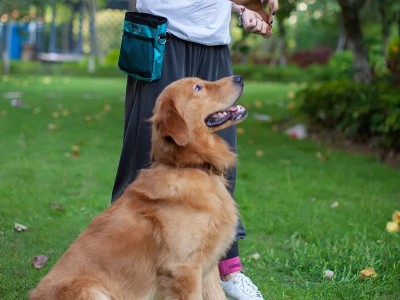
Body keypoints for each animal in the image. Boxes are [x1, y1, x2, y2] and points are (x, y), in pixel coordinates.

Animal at [30, 75, 247, 300]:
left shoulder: (208, 267)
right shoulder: (185, 268)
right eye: (198, 88)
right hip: (92, 289)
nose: (238, 77)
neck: (188, 166)